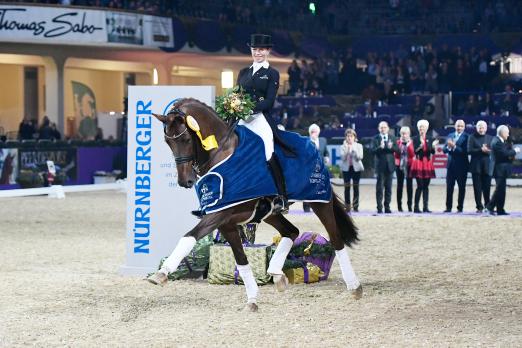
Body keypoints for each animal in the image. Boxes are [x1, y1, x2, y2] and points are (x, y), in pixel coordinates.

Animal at [144, 98, 360, 312]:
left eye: (186, 140)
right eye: (168, 142)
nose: (185, 181)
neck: (222, 153)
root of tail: (311, 145)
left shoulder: (218, 214)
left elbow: (189, 236)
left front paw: (161, 273)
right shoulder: (225, 220)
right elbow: (241, 260)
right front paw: (253, 299)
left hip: (319, 201)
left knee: (336, 239)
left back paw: (354, 287)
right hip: (270, 212)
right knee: (291, 231)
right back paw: (277, 275)